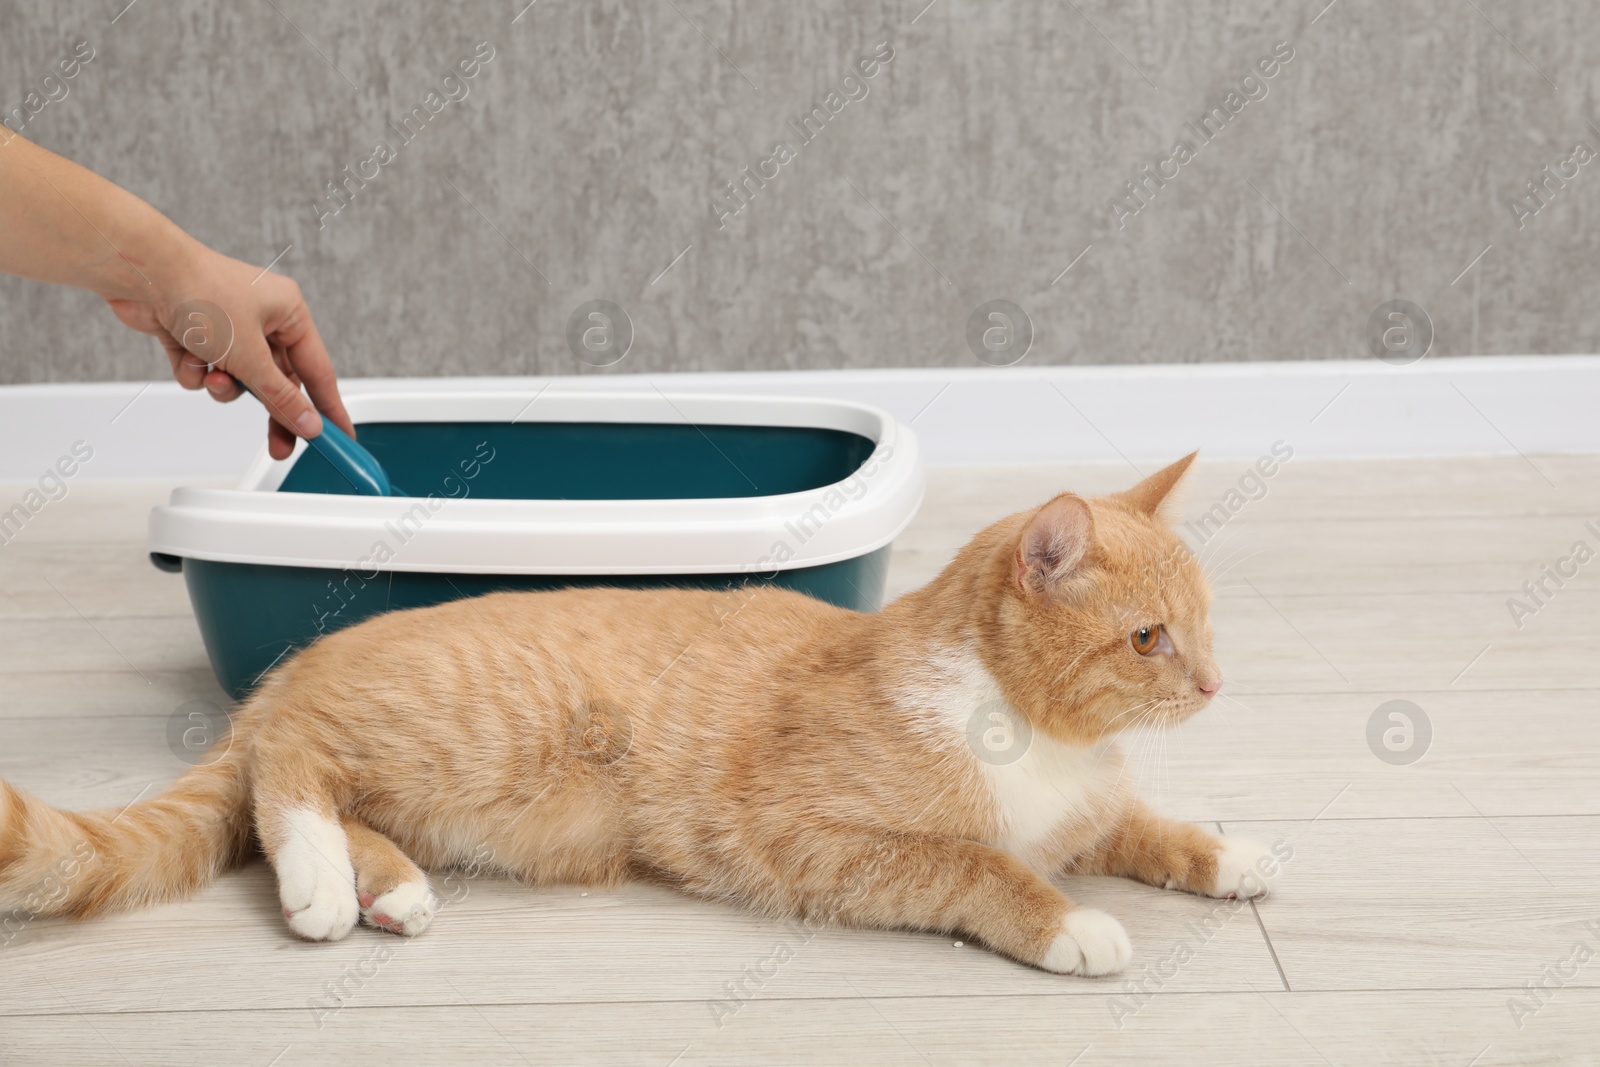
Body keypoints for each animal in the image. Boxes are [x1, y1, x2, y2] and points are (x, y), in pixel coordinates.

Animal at [0, 454, 1273, 979]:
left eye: (1206, 625)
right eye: (1149, 638)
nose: (1216, 684)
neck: (1030, 734)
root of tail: (309, 650)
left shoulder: (1087, 806)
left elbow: (1143, 825)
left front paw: (1229, 851)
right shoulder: (816, 838)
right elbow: (981, 865)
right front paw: (1069, 922)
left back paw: (389, 887)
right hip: (448, 732)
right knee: (287, 765)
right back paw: (321, 882)